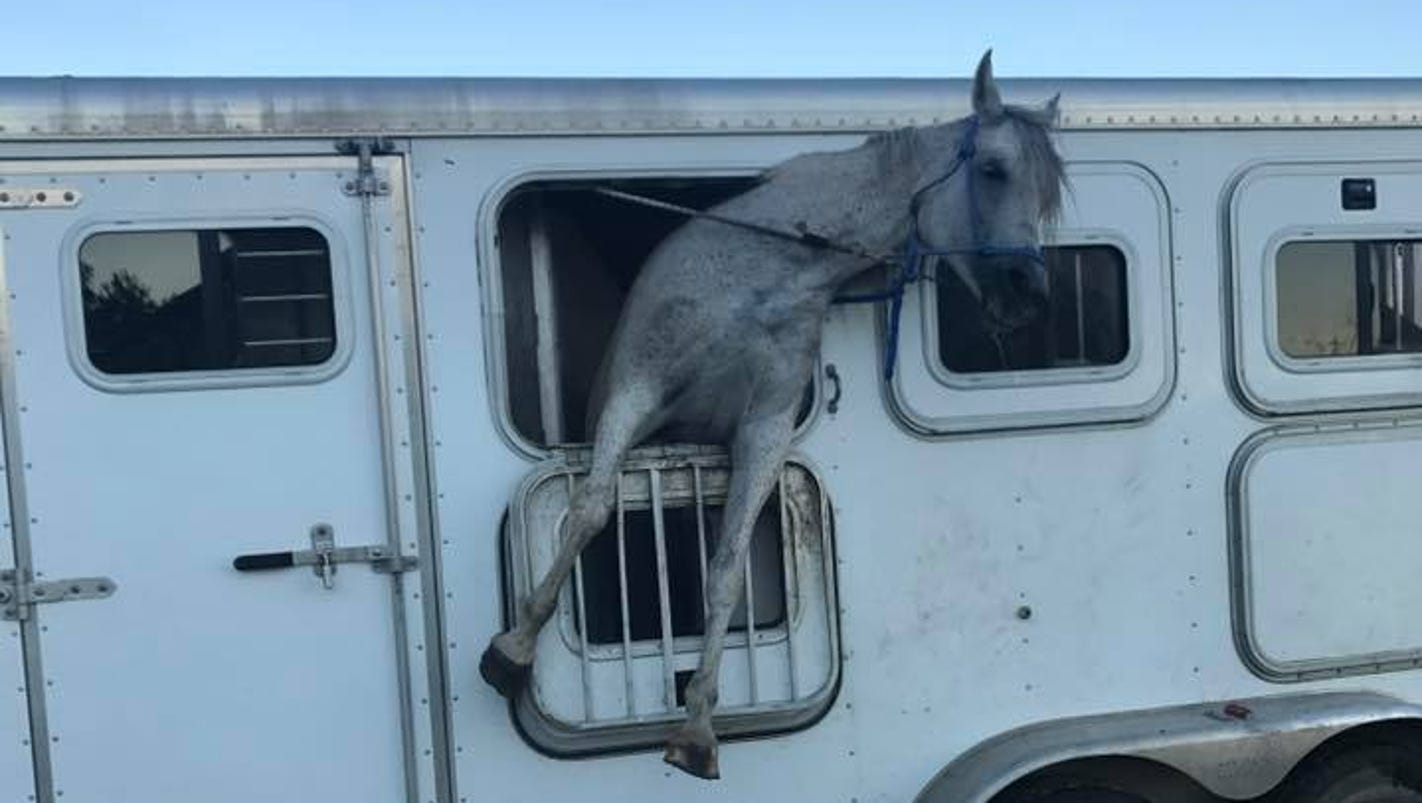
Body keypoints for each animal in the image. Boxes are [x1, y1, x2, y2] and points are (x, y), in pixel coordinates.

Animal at [480, 50, 1066, 780]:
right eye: (992, 169)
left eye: (1046, 197)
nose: (1028, 294)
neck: (767, 274)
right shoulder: (635, 392)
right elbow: (589, 510)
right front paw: (512, 651)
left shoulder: (761, 433)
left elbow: (726, 570)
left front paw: (697, 728)